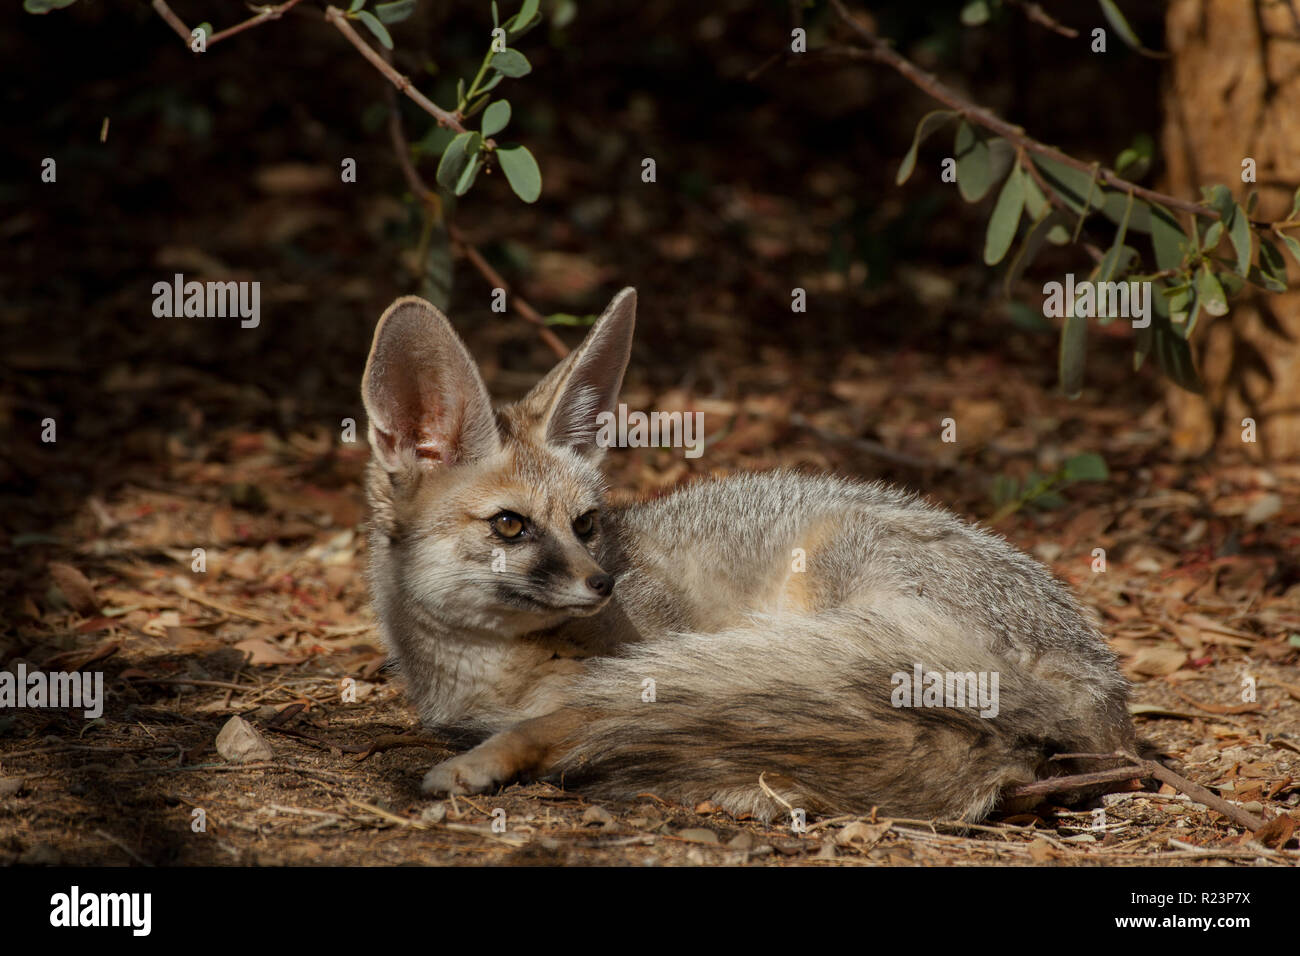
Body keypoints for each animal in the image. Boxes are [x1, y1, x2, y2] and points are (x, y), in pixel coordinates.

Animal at [358, 286, 1138, 822]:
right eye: (511, 526)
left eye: (584, 524)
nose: (604, 584)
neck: (485, 671)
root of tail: (1103, 681)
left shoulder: (627, 680)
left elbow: (549, 723)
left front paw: (481, 761)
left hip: (827, 571)